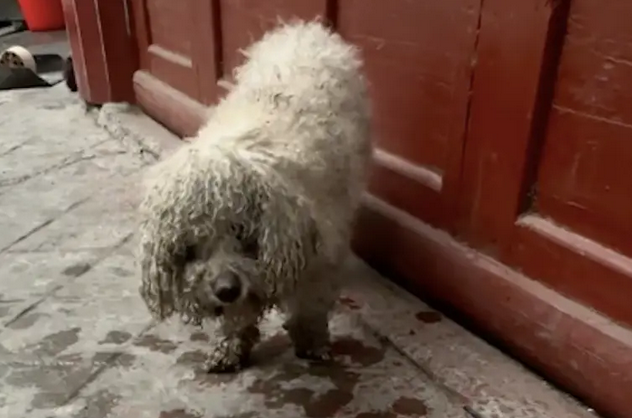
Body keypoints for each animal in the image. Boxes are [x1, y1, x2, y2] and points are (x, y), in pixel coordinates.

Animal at [138, 19, 372, 372]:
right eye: (190, 247)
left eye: (242, 231)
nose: (226, 290)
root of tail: (303, 29)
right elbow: (237, 320)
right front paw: (229, 349)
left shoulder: (319, 254)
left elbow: (311, 304)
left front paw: (312, 342)